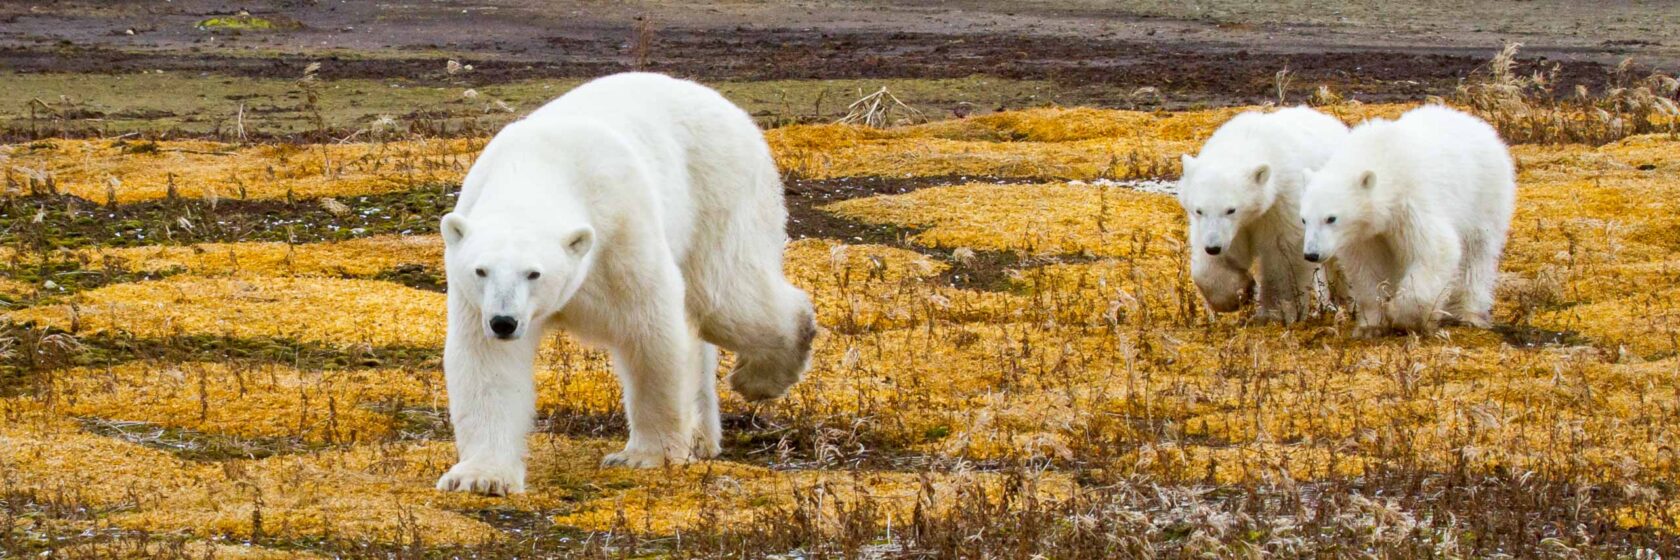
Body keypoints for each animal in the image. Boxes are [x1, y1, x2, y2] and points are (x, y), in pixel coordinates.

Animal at [433, 73, 813, 494]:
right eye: (481, 270)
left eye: (534, 273)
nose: (504, 322)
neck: (539, 165)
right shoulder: (474, 297)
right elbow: (487, 363)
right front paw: (480, 476)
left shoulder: (620, 232)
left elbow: (650, 333)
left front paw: (645, 455)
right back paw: (701, 437)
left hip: (717, 191)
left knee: (726, 298)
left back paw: (763, 375)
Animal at [1182, 106, 1350, 322]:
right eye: (1199, 210)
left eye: (1231, 209)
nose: (1213, 247)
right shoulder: (1229, 228)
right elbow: (1213, 264)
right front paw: (1239, 292)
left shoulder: (1283, 201)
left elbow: (1282, 255)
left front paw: (1275, 313)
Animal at [1296, 104, 1525, 331]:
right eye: (1304, 219)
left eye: (1331, 218)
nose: (1312, 254)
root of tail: (1478, 124)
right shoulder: (1366, 232)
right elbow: (1366, 265)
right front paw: (1371, 323)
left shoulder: (1411, 202)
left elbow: (1435, 249)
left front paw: (1403, 315)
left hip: (1483, 196)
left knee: (1477, 251)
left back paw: (1468, 313)